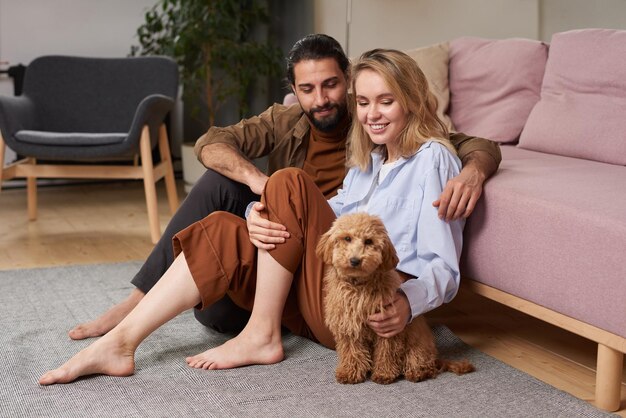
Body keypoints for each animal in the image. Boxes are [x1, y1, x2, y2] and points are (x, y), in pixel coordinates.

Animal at [314, 214, 470, 384]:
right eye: (347, 238)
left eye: (369, 241)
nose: (355, 260)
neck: (360, 286)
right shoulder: (348, 325)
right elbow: (352, 351)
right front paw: (350, 372)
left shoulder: (387, 328)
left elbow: (386, 351)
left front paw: (384, 373)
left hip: (417, 345)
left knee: (422, 363)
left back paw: (417, 372)